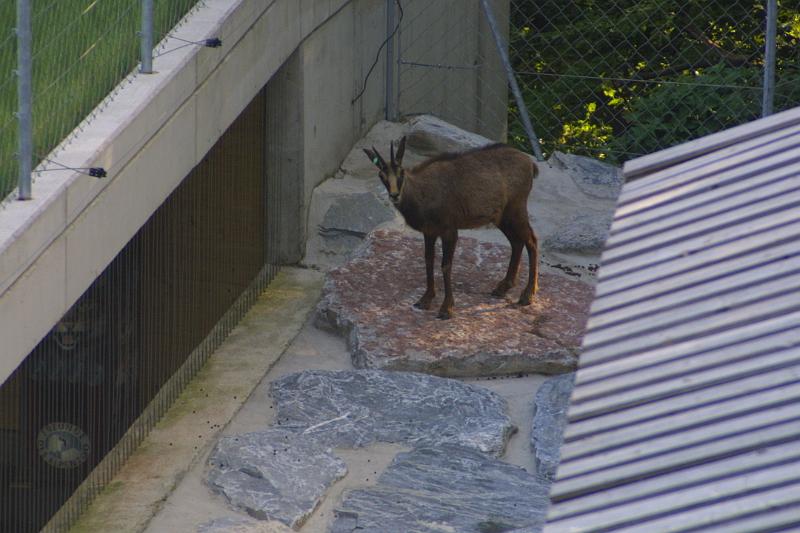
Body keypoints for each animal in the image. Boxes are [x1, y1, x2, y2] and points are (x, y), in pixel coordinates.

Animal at [364, 137, 539, 319]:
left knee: (531, 240)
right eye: (381, 175)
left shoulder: (449, 229)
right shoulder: (429, 231)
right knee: (517, 242)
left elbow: (446, 265)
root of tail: (531, 164)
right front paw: (425, 299)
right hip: (502, 216)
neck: (421, 198)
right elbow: (428, 260)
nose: (394, 195)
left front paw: (446, 308)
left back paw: (527, 295)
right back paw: (503, 287)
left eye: (401, 172)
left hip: (516, 208)